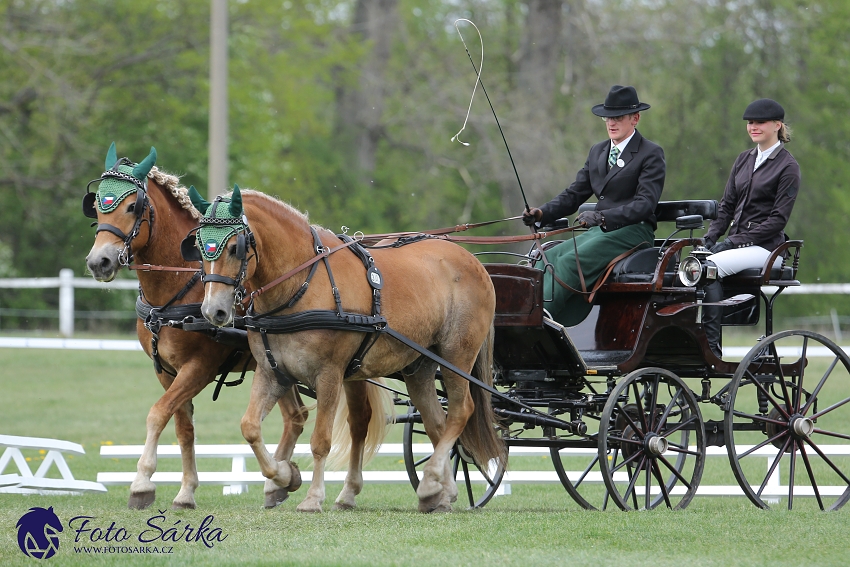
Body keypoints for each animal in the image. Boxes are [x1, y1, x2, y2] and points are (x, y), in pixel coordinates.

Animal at [82, 145, 314, 510]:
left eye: (133, 206)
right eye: (95, 204)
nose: (98, 262)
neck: (176, 287)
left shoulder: (199, 367)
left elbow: (157, 413)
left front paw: (141, 482)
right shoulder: (166, 371)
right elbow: (182, 427)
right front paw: (186, 491)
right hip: (279, 367)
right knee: (296, 415)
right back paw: (278, 481)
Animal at [192, 187, 504, 516]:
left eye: (234, 248)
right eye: (198, 247)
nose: (214, 311)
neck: (300, 283)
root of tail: (470, 259)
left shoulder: (328, 374)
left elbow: (320, 440)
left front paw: (312, 497)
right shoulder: (272, 372)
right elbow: (250, 427)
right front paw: (284, 476)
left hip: (456, 355)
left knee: (461, 411)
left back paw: (431, 481)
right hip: (419, 367)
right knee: (436, 423)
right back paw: (440, 492)